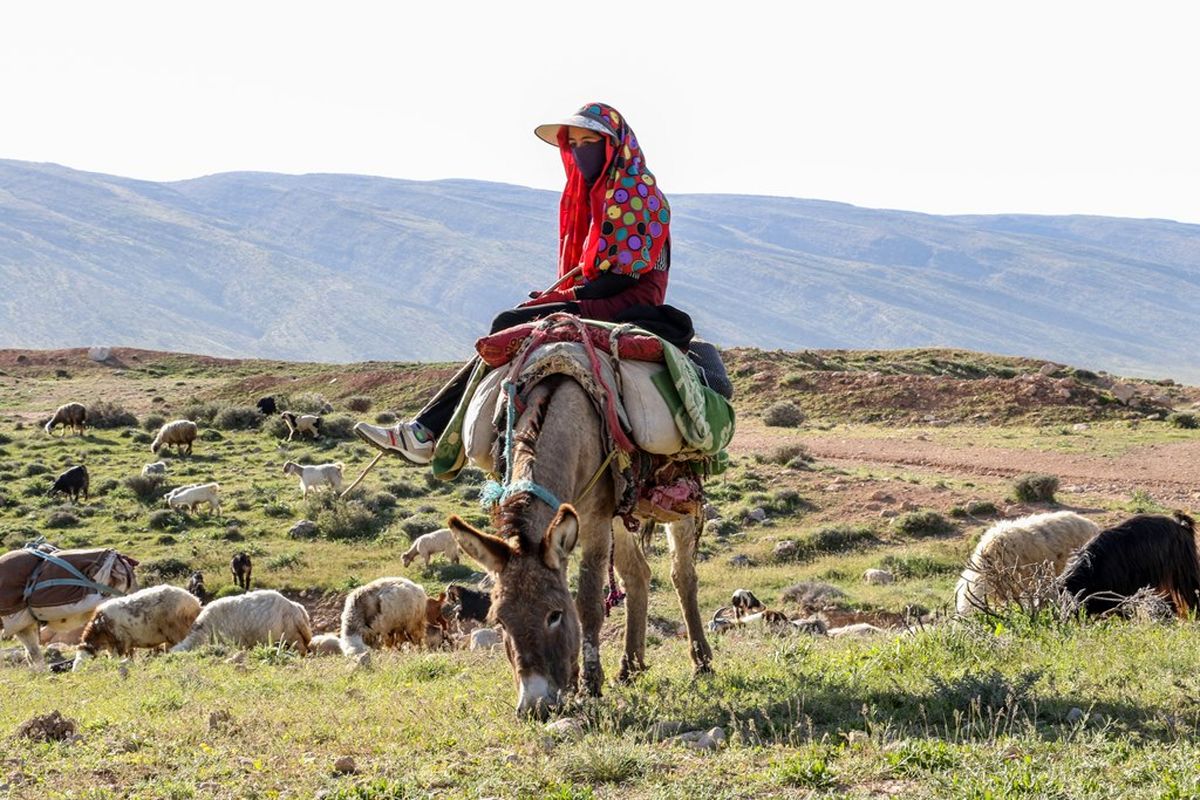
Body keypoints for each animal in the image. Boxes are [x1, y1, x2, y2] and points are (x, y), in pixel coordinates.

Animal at [72, 582, 201, 671]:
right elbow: (129, 655)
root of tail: (195, 603)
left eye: (84, 663)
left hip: (178, 631)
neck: (99, 627)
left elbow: (116, 658)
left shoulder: (120, 641)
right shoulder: (124, 643)